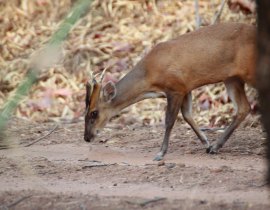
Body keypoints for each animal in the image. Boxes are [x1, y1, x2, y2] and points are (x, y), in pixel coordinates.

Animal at [84, 22, 255, 161]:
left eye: (94, 113)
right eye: (85, 113)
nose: (86, 137)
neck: (149, 77)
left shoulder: (175, 87)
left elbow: (169, 121)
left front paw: (160, 153)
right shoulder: (186, 88)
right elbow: (187, 115)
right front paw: (206, 143)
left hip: (249, 72)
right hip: (232, 78)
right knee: (243, 108)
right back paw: (215, 147)